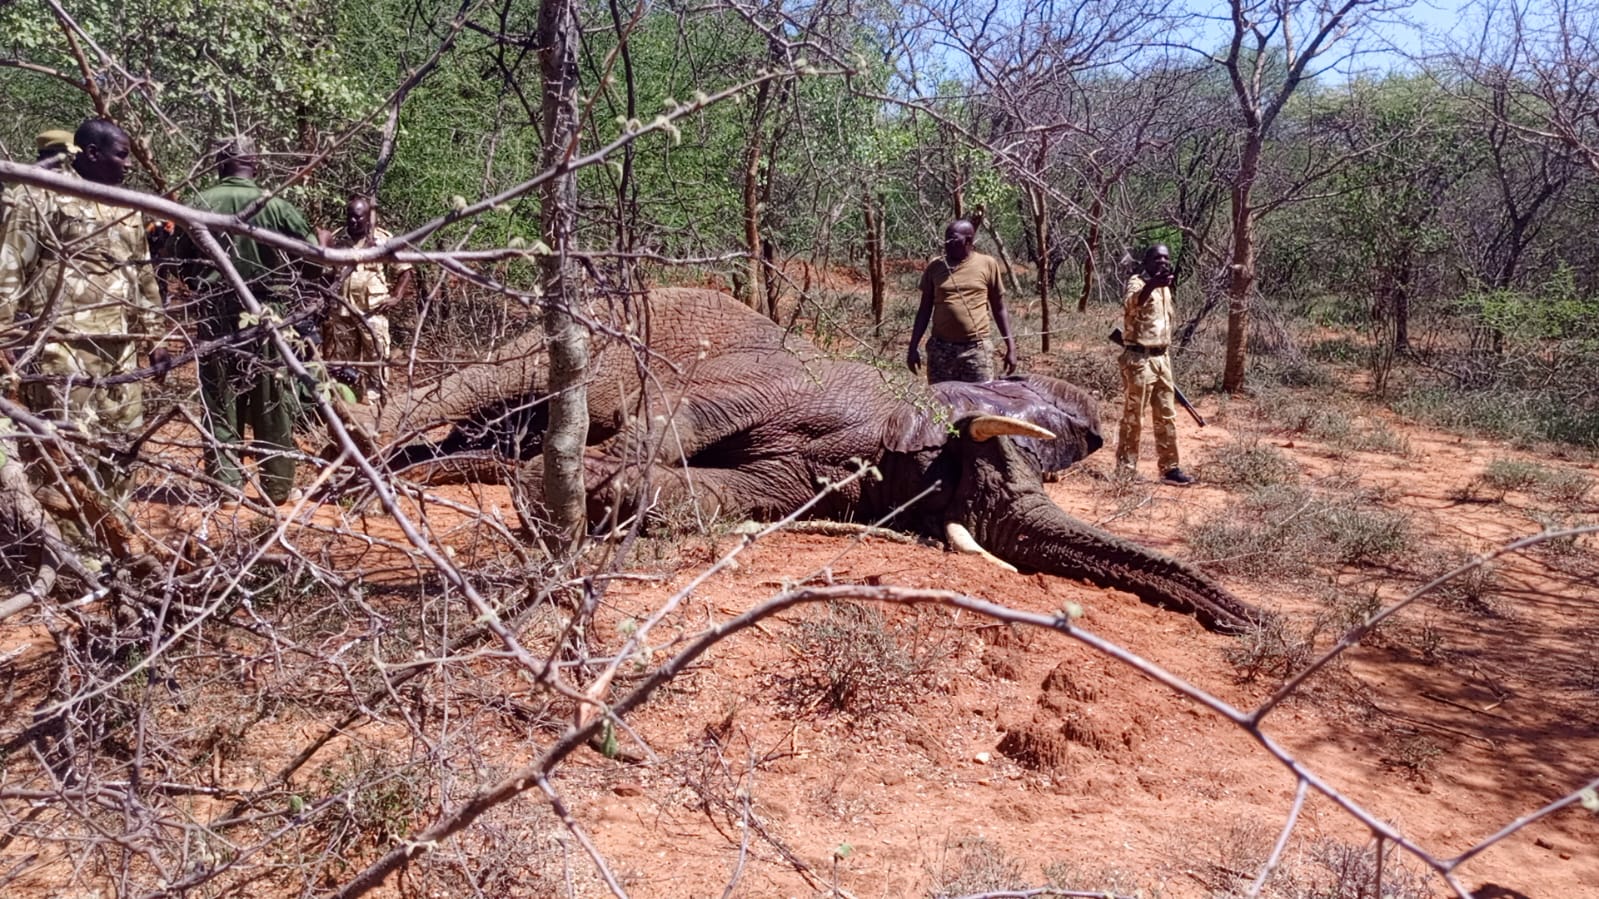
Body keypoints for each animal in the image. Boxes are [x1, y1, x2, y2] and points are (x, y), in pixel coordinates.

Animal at [370, 288, 1266, 634]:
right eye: (969, 465)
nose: (1261, 623)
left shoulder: (805, 483)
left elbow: (724, 495)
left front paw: (580, 497)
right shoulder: (780, 387)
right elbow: (682, 416)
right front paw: (548, 502)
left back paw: (413, 476)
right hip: (597, 322)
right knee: (487, 382)